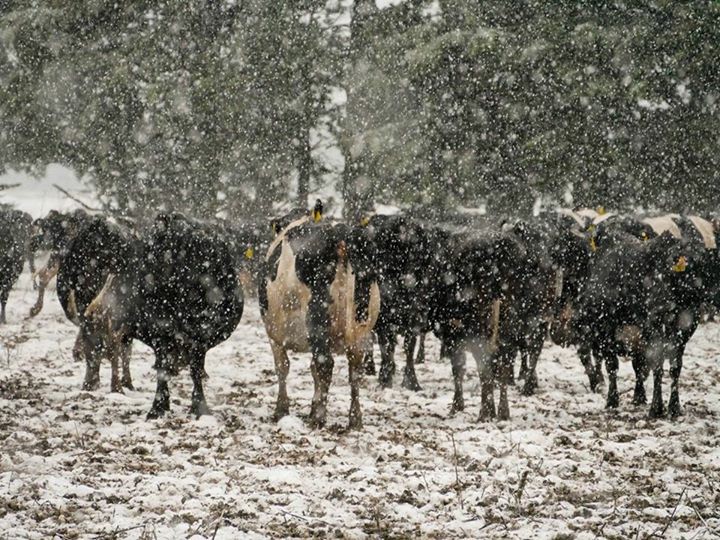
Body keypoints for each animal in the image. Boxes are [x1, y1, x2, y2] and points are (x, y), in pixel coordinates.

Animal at [80, 213, 244, 418]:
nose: (87, 385)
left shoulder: (201, 336)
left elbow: (195, 370)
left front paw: (199, 407)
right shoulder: (159, 333)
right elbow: (162, 369)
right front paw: (158, 407)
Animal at [260, 211, 380, 429]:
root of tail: (339, 233)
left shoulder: (274, 336)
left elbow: (283, 368)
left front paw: (281, 410)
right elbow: (313, 369)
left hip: (316, 320)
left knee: (326, 364)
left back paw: (319, 418)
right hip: (361, 326)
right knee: (355, 369)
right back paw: (355, 418)